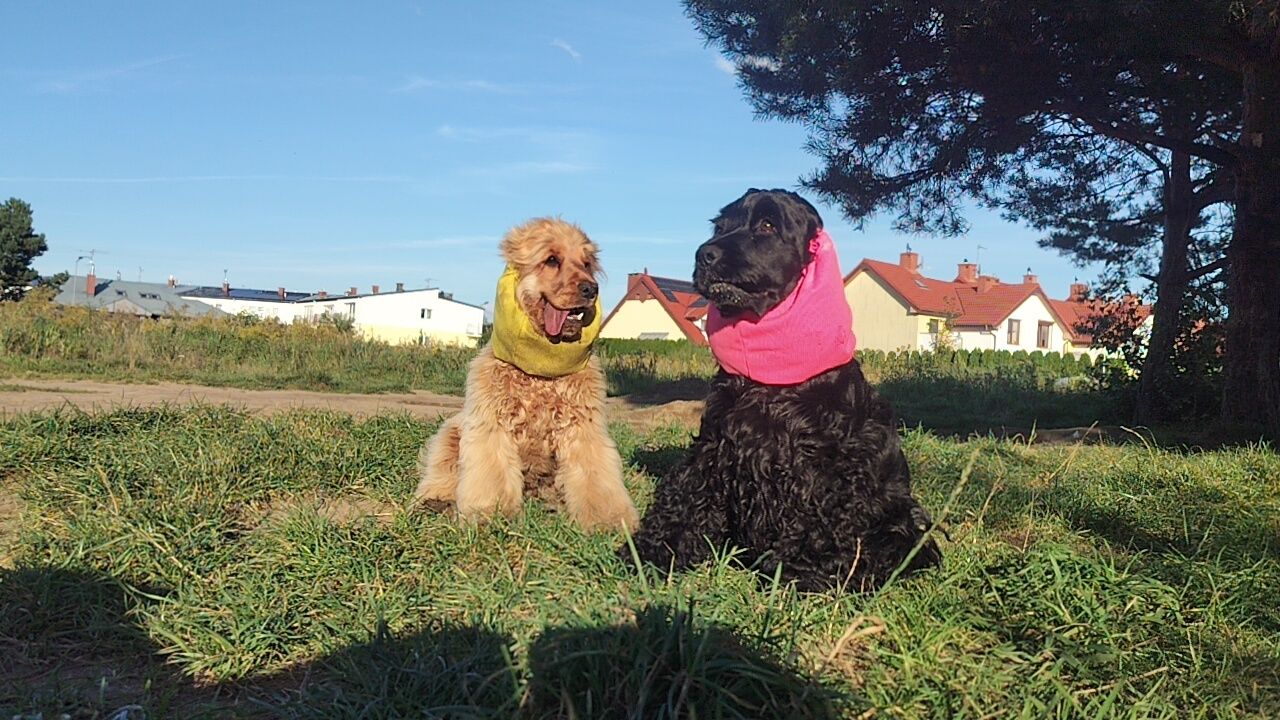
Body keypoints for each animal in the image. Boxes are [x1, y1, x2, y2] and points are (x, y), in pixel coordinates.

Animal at [624, 188, 947, 591]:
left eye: (767, 225)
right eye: (720, 226)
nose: (704, 254)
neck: (769, 377)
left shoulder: (821, 470)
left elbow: (816, 520)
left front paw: (799, 570)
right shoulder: (714, 446)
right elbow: (689, 494)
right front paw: (655, 548)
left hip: (900, 519)